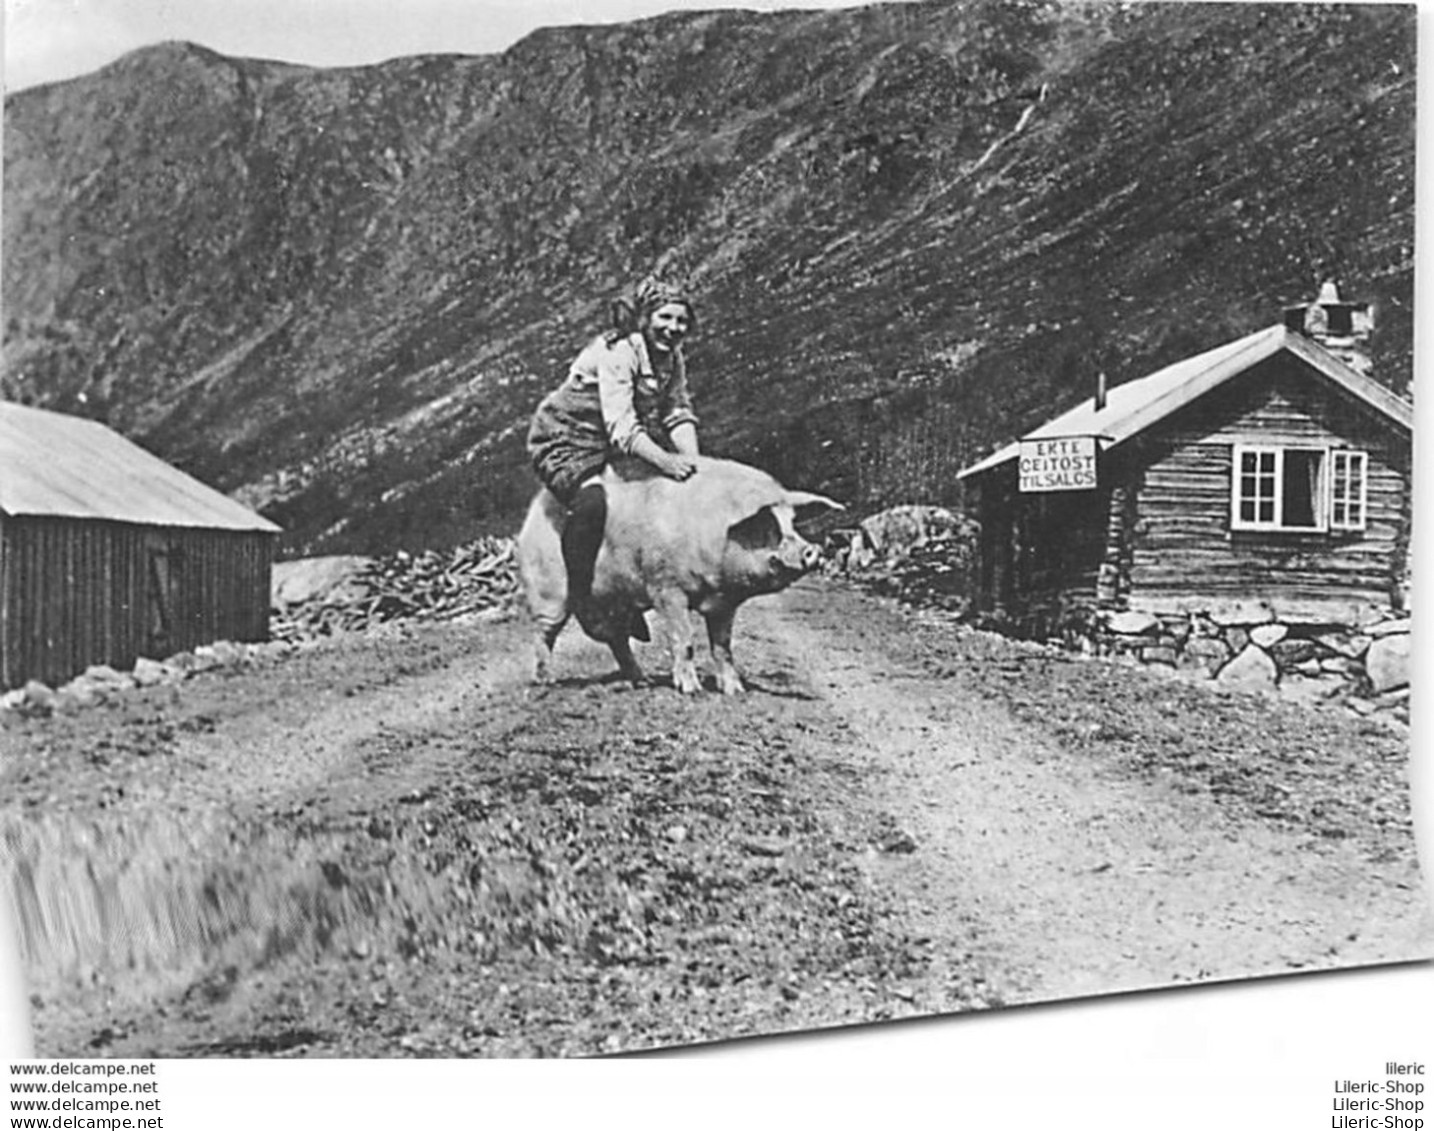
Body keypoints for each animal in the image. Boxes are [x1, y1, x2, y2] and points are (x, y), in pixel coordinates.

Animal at [516, 455, 843, 693]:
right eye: (766, 526)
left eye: (792, 522)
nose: (812, 550)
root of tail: (531, 516)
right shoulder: (666, 590)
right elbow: (683, 640)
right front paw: (691, 690)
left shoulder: (724, 605)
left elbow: (723, 647)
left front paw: (735, 691)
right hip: (548, 591)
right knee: (543, 634)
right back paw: (547, 682)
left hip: (615, 601)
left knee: (617, 639)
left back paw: (643, 681)